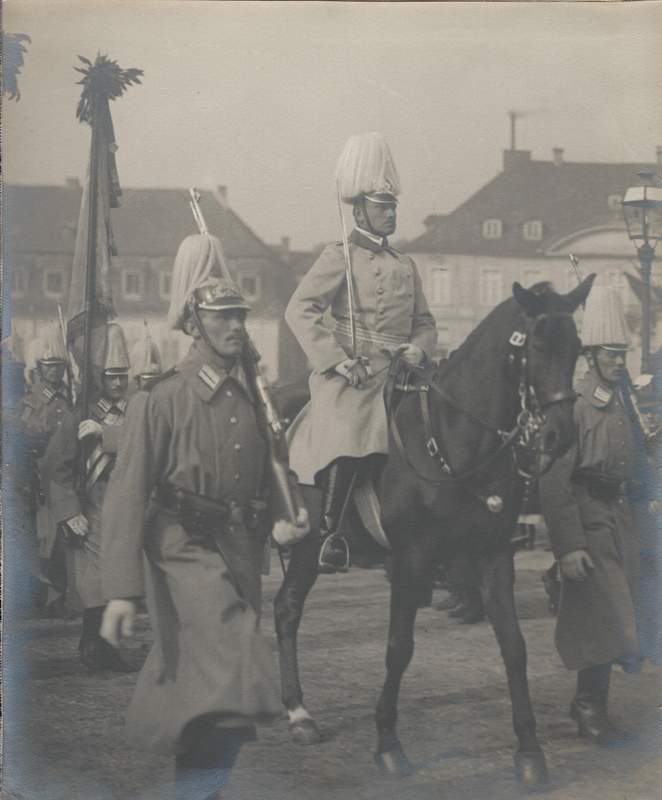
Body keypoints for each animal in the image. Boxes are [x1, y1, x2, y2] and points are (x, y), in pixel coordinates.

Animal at [274, 276, 596, 788]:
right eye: (538, 344)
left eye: (578, 347)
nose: (559, 436)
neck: (453, 438)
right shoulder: (411, 561)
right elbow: (398, 648)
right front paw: (388, 743)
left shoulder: (492, 555)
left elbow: (514, 646)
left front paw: (529, 750)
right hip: (295, 543)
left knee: (284, 609)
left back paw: (298, 712)